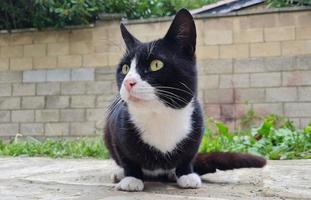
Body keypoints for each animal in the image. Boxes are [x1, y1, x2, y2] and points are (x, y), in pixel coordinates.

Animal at [104, 8, 266, 191]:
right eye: (125, 68)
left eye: (155, 64)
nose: (128, 82)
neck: (159, 115)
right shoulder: (116, 129)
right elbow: (127, 158)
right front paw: (131, 178)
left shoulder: (197, 126)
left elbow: (188, 155)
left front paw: (186, 174)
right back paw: (120, 173)